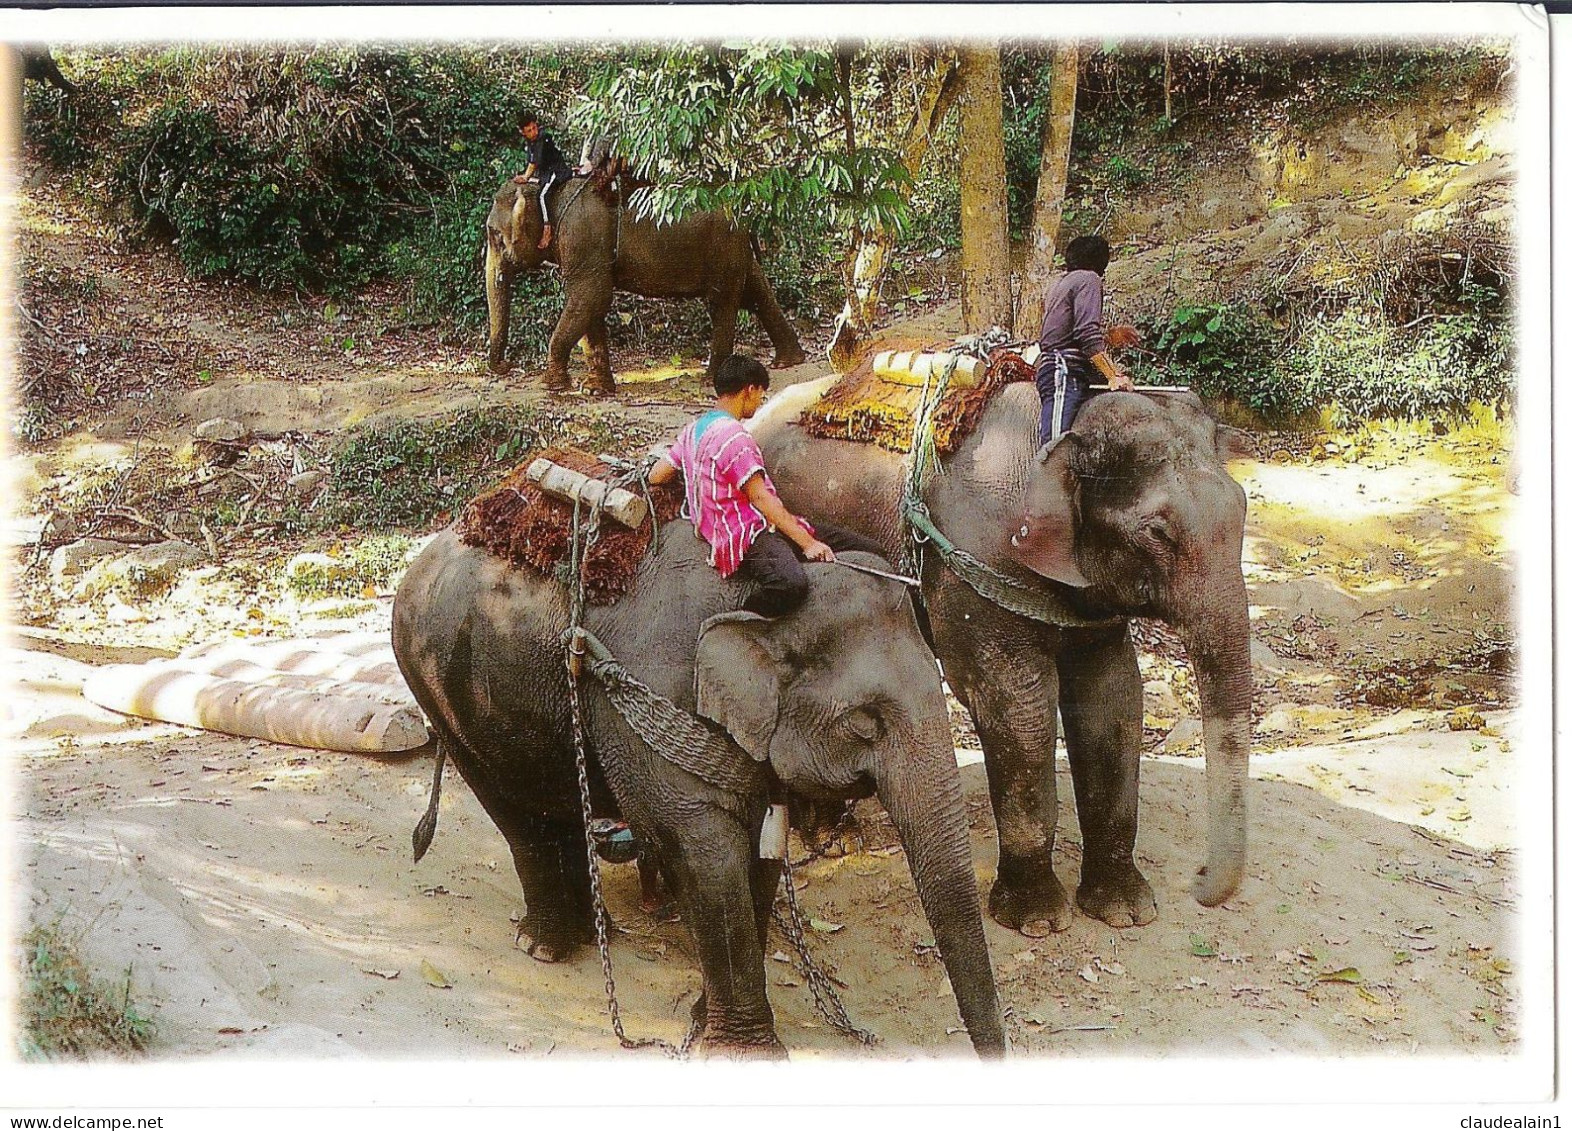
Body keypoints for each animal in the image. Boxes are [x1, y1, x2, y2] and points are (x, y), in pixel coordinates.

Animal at [393, 522, 1006, 1063]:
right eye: (866, 724)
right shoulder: (651, 700)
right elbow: (706, 852)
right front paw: (745, 1055)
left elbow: (760, 855)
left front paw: (703, 1023)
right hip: (438, 692)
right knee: (518, 815)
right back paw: (546, 946)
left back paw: (591, 936)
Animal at [487, 176, 811, 390]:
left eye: (494, 235)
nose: (504, 366)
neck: (547, 191)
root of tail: (746, 212)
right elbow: (592, 306)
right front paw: (595, 390)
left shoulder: (583, 237)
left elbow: (592, 296)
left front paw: (552, 386)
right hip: (736, 253)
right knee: (755, 292)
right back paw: (787, 361)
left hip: (724, 249)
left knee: (722, 303)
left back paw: (711, 379)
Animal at [754, 380, 1257, 937]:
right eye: (1158, 533)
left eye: (1243, 510)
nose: (1199, 878)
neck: (1065, 426)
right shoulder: (976, 567)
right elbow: (1019, 708)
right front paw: (1036, 921)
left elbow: (1113, 700)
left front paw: (1124, 911)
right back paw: (824, 839)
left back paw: (833, 836)